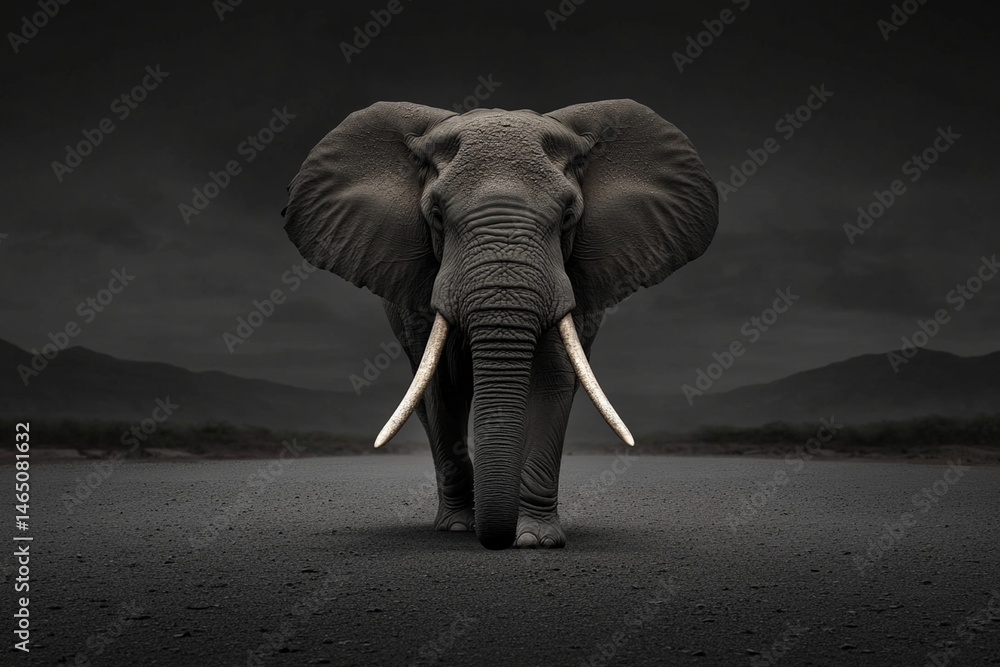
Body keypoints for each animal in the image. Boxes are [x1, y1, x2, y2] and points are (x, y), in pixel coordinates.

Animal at [282, 99, 719, 550]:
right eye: (436, 215)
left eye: (568, 217)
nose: (494, 541)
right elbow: (442, 388)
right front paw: (460, 529)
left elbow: (552, 377)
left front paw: (537, 540)